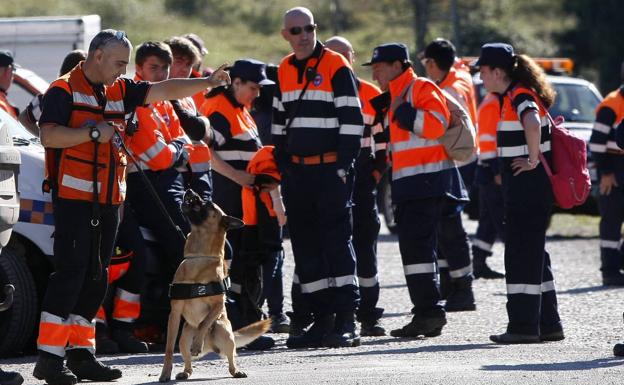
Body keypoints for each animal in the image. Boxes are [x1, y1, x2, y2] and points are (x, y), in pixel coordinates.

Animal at [158, 189, 270, 380]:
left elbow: (204, 323)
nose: (189, 191)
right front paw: (165, 373)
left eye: (208, 203)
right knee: (188, 362)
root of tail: (211, 346)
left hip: (224, 331)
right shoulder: (175, 313)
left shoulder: (218, 305)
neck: (199, 257)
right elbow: (169, 348)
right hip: (184, 337)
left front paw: (197, 344)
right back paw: (185, 372)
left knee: (231, 356)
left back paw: (234, 369)